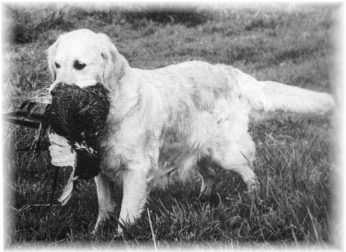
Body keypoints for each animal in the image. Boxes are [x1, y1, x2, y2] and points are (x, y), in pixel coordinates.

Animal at [46, 28, 336, 233]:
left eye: (80, 65)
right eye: (57, 66)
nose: (54, 92)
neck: (110, 109)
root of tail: (229, 72)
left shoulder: (136, 171)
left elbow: (125, 215)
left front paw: (120, 237)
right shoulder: (99, 169)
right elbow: (105, 207)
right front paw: (96, 234)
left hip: (227, 152)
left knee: (250, 174)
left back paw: (253, 199)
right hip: (197, 149)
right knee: (211, 177)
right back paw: (201, 201)